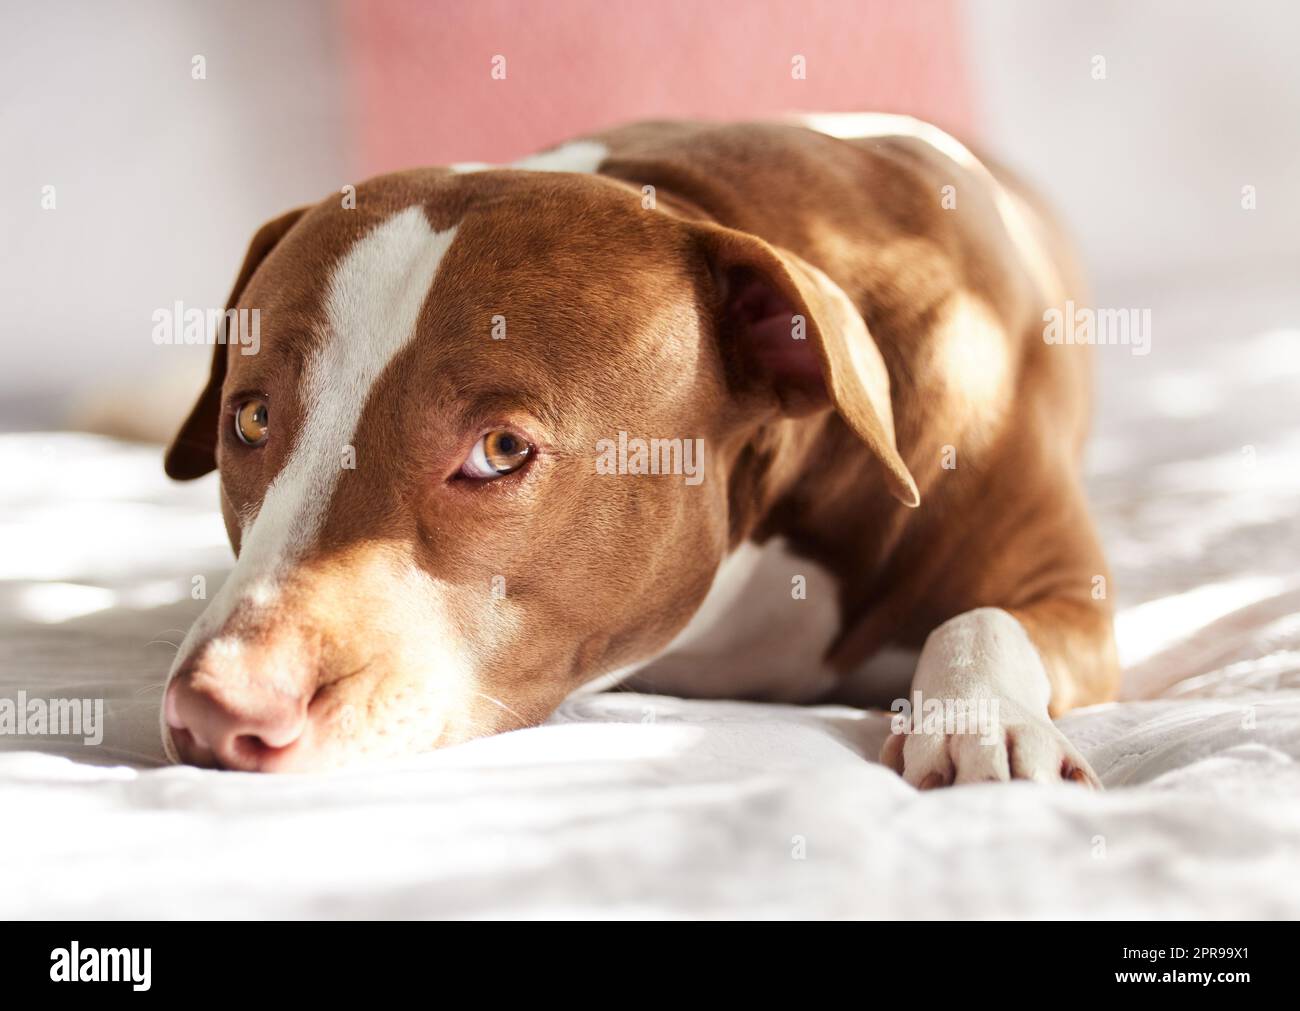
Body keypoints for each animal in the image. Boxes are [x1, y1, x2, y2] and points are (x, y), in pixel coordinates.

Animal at [159, 116, 1118, 779]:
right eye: (251, 420)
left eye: (500, 449)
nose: (217, 708)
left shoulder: (1070, 589)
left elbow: (981, 618)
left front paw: (982, 724)